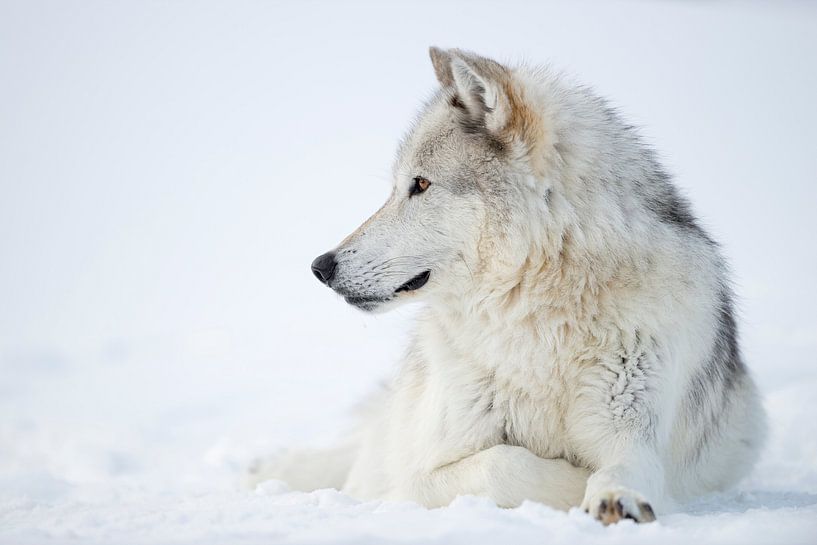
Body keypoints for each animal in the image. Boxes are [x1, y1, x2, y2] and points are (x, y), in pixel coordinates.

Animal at [247, 47, 766, 524]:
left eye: (420, 184)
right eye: (397, 187)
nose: (321, 266)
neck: (541, 324)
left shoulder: (634, 433)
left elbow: (626, 469)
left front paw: (613, 496)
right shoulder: (421, 473)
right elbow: (505, 464)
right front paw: (575, 483)